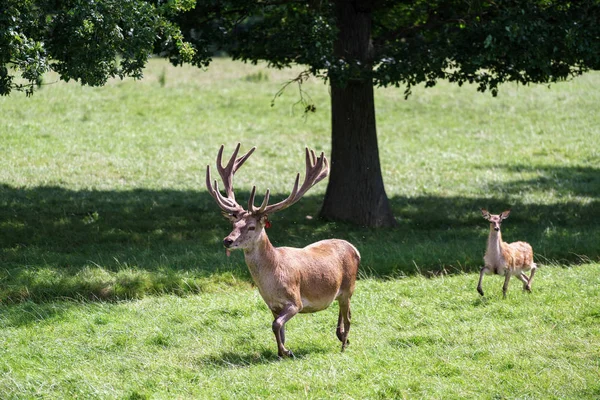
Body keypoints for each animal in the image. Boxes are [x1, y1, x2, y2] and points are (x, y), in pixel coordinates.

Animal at [206, 145, 358, 360]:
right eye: (234, 224)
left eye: (251, 226)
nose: (227, 240)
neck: (272, 280)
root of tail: (355, 249)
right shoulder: (272, 305)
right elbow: (278, 328)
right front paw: (281, 352)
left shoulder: (295, 301)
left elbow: (276, 325)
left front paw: (286, 351)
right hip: (341, 292)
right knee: (342, 311)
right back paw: (342, 337)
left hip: (349, 287)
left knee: (349, 316)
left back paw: (344, 345)